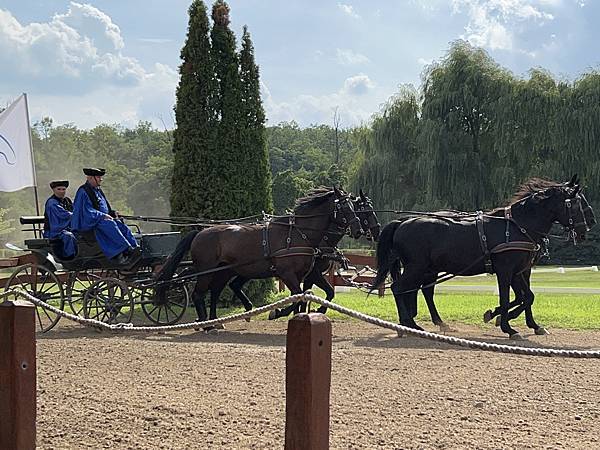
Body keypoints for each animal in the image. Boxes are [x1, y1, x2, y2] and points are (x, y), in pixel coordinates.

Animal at [155, 186, 360, 326]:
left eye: (354, 205)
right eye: (344, 207)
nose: (357, 229)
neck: (297, 234)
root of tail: (200, 232)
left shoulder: (303, 274)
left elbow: (302, 296)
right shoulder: (287, 274)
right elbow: (297, 296)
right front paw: (276, 312)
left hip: (223, 271)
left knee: (214, 292)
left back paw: (215, 321)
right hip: (207, 270)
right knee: (198, 294)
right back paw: (205, 324)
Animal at [266, 190, 380, 320]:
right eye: (366, 211)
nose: (377, 231)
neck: (322, 241)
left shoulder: (308, 275)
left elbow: (318, 294)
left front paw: (316, 310)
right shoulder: (312, 274)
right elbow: (305, 297)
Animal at [370, 176, 592, 338]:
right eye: (576, 204)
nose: (585, 230)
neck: (517, 226)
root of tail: (402, 222)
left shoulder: (520, 270)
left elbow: (527, 296)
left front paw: (516, 320)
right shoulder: (506, 270)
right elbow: (508, 298)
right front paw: (507, 326)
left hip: (425, 268)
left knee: (418, 290)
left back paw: (415, 324)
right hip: (417, 267)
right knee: (400, 288)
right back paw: (409, 325)